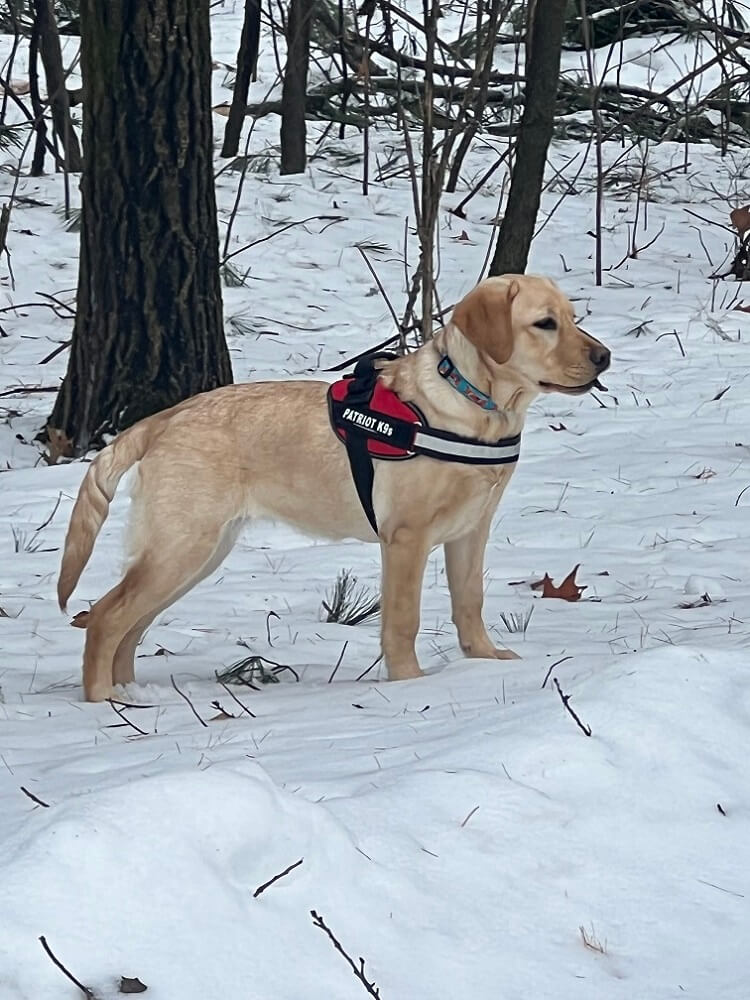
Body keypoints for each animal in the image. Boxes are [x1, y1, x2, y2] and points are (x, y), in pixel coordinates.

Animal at [57, 274, 612, 704]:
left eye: (571, 317)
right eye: (545, 324)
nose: (605, 357)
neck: (476, 405)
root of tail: (163, 418)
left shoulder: (469, 532)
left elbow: (469, 604)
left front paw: (486, 662)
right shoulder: (406, 539)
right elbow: (403, 621)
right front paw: (411, 684)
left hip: (196, 553)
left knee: (130, 627)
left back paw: (133, 696)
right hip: (181, 546)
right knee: (105, 618)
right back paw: (106, 703)